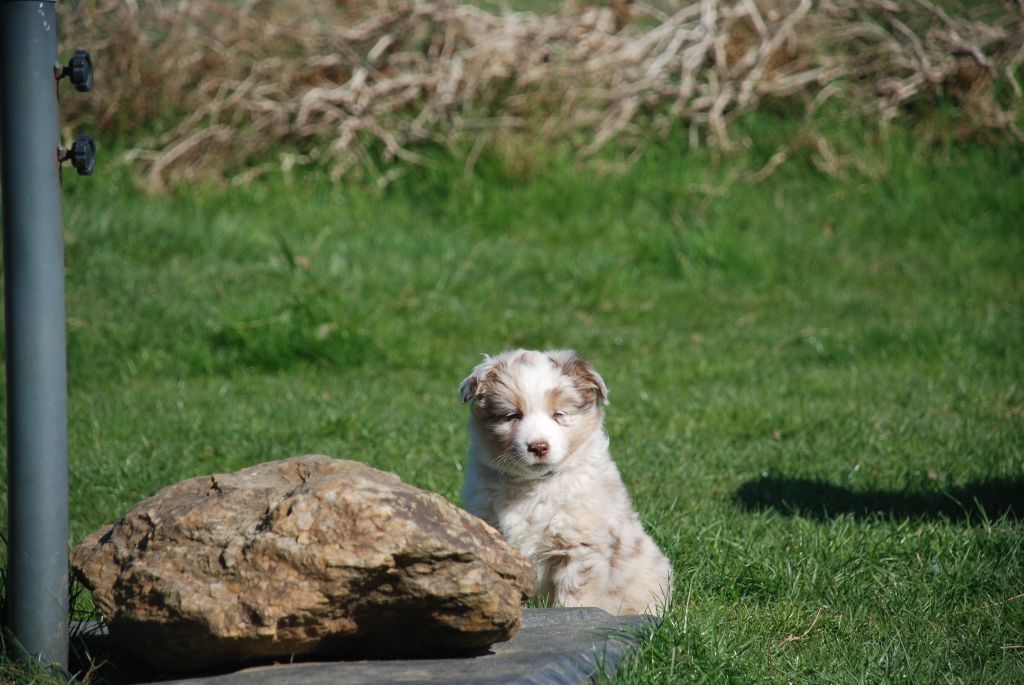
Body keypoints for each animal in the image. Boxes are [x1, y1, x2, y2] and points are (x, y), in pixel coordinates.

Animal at [459, 349, 672, 616]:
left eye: (559, 415)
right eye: (512, 416)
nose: (538, 446)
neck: (534, 485)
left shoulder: (580, 548)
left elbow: (572, 600)